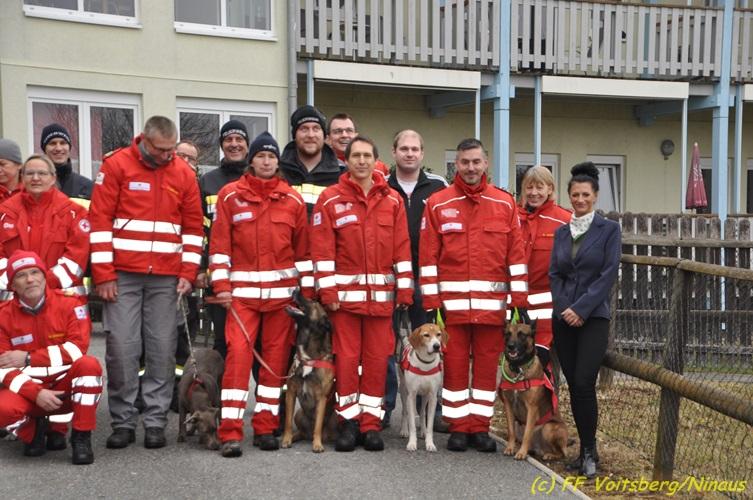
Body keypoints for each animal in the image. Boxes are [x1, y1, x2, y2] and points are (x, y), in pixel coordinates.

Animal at [281, 290, 337, 453]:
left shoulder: (321, 398)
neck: (308, 356)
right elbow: (287, 423)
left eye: (313, 302)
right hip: (299, 414)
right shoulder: (291, 393)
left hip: (335, 417)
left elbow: (317, 425)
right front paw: (286, 439)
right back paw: (294, 437)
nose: (295, 289)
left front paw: (317, 444)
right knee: (300, 431)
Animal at [398, 323, 448, 452]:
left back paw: (423, 431)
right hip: (403, 391)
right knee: (404, 411)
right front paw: (411, 443)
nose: (436, 346)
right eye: (426, 335)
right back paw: (404, 430)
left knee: (421, 412)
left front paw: (430, 443)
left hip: (425, 396)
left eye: (438, 334)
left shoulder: (433, 396)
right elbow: (412, 424)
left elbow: (429, 424)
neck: (425, 363)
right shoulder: (411, 396)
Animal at [499, 321, 568, 461]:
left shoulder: (532, 408)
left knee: (562, 453)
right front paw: (510, 448)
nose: (510, 346)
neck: (518, 369)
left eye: (522, 335)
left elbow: (527, 434)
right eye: (508, 334)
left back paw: (549, 455)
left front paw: (521, 452)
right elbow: (510, 430)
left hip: (548, 427)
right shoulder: (508, 405)